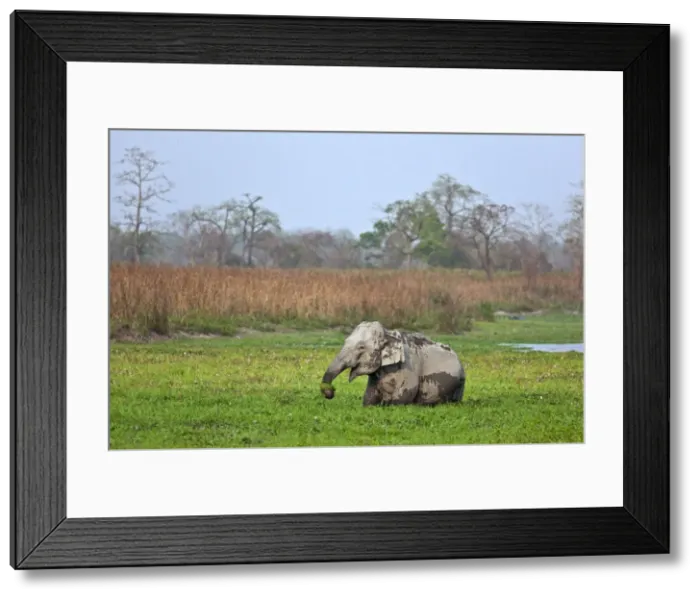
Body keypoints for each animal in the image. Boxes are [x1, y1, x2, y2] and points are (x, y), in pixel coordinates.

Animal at [319, 321, 466, 406]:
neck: (388, 333)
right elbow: (368, 398)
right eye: (345, 341)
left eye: (361, 347)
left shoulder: (408, 366)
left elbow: (404, 395)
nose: (330, 392)